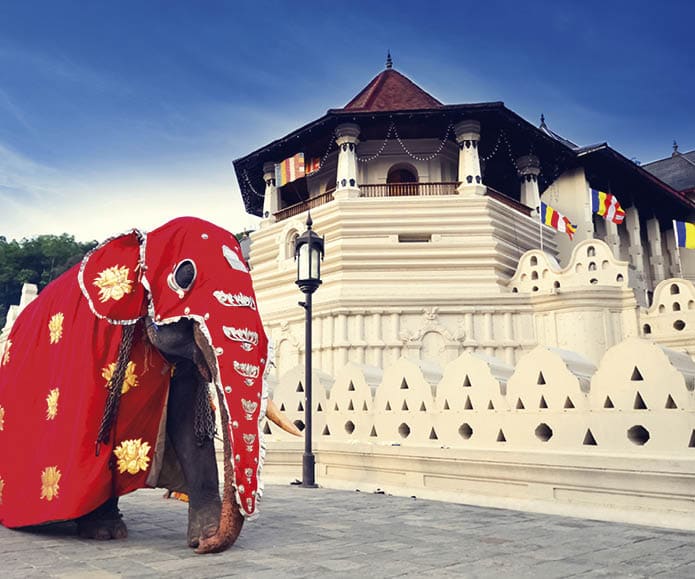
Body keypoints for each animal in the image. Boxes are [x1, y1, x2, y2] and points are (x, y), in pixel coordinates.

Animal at [0, 216, 296, 552]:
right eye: (184, 275)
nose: (208, 544)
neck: (141, 243)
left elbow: (186, 422)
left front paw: (203, 537)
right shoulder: (95, 346)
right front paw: (103, 531)